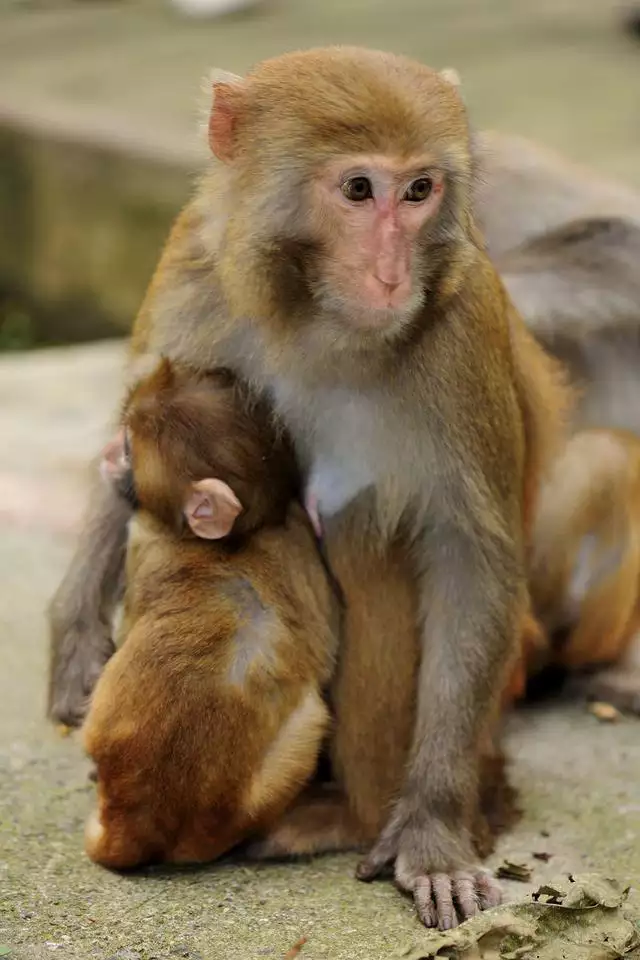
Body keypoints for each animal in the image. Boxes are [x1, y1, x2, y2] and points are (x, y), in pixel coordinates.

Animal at [82, 360, 338, 872]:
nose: (106, 452)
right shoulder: (295, 533)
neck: (222, 544)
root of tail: (140, 825)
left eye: (128, 447)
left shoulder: (144, 541)